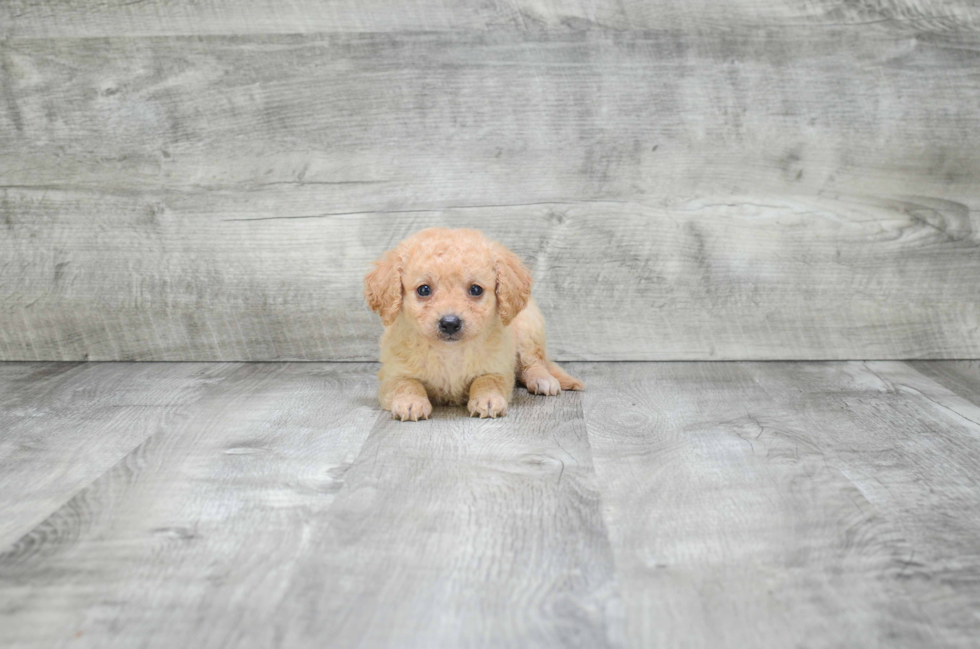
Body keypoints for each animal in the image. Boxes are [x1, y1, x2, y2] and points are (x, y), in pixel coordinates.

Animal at [366, 228, 580, 420]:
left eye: (475, 289)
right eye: (424, 289)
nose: (449, 323)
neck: (449, 351)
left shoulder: (498, 366)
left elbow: (487, 380)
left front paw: (488, 400)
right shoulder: (392, 372)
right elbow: (406, 383)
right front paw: (410, 402)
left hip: (528, 329)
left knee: (534, 362)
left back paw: (543, 379)